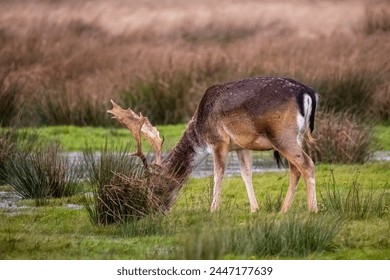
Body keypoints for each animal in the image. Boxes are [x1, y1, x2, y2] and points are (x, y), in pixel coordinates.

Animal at [108, 75, 318, 213]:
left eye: (155, 186)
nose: (153, 209)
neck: (200, 131)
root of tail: (308, 93)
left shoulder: (219, 141)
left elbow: (218, 175)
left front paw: (213, 209)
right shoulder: (241, 146)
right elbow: (246, 174)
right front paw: (254, 208)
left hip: (282, 134)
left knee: (307, 164)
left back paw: (312, 209)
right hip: (296, 136)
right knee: (295, 168)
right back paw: (283, 209)